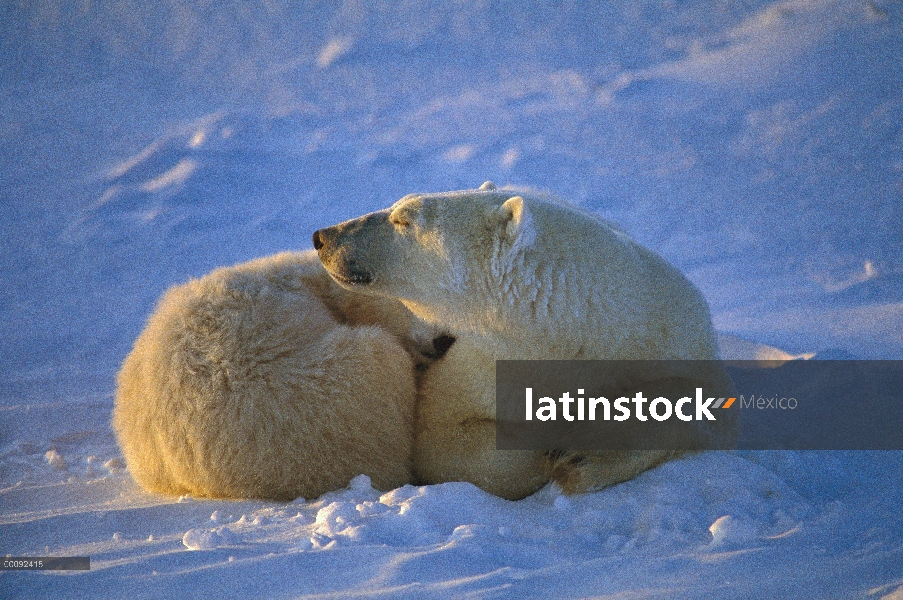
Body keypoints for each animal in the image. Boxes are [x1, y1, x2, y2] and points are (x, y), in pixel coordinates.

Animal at [314, 183, 740, 502]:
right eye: (400, 206)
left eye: (404, 217)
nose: (322, 237)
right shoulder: (486, 360)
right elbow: (442, 437)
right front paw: (552, 450)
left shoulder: (671, 339)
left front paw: (581, 455)